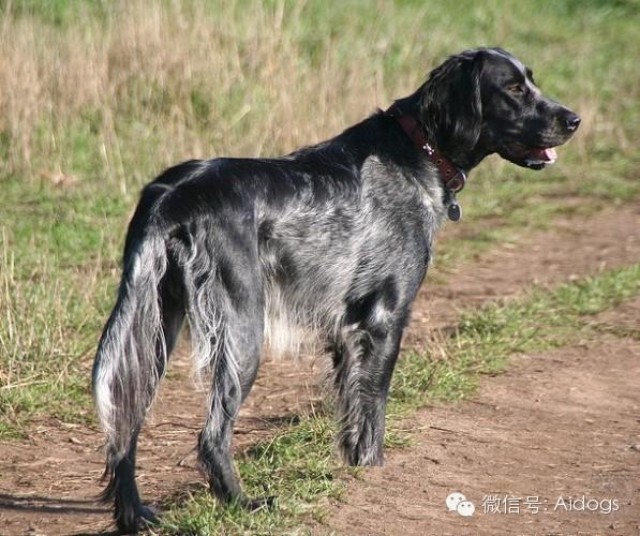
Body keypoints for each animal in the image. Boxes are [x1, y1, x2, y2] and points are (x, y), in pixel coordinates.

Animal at [94, 47, 580, 532]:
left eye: (531, 81)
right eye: (513, 89)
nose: (574, 119)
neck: (417, 151)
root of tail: (172, 193)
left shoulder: (347, 333)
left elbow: (352, 411)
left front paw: (355, 471)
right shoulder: (383, 321)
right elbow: (373, 410)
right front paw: (375, 473)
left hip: (154, 329)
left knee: (124, 425)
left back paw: (134, 515)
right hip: (241, 331)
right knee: (212, 435)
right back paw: (242, 504)